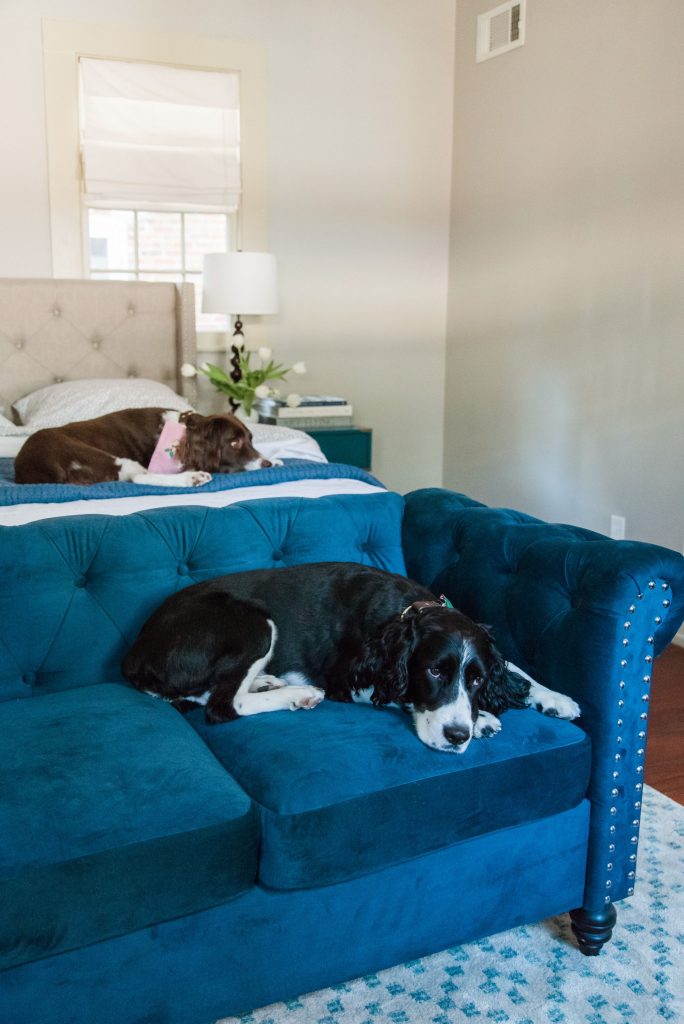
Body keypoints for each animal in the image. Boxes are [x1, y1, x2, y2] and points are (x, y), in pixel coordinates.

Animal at [13, 407, 274, 487]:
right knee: (139, 477)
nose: (266, 464)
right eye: (234, 443)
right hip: (97, 455)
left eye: (251, 438)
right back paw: (192, 478)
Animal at [121, 561, 577, 753]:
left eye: (478, 680)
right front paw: (481, 721)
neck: (405, 612)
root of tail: (135, 653)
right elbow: (400, 694)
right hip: (253, 623)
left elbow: (512, 664)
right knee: (223, 704)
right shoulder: (349, 678)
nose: (456, 736)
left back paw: (269, 681)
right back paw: (295, 694)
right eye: (433, 671)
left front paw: (554, 697)